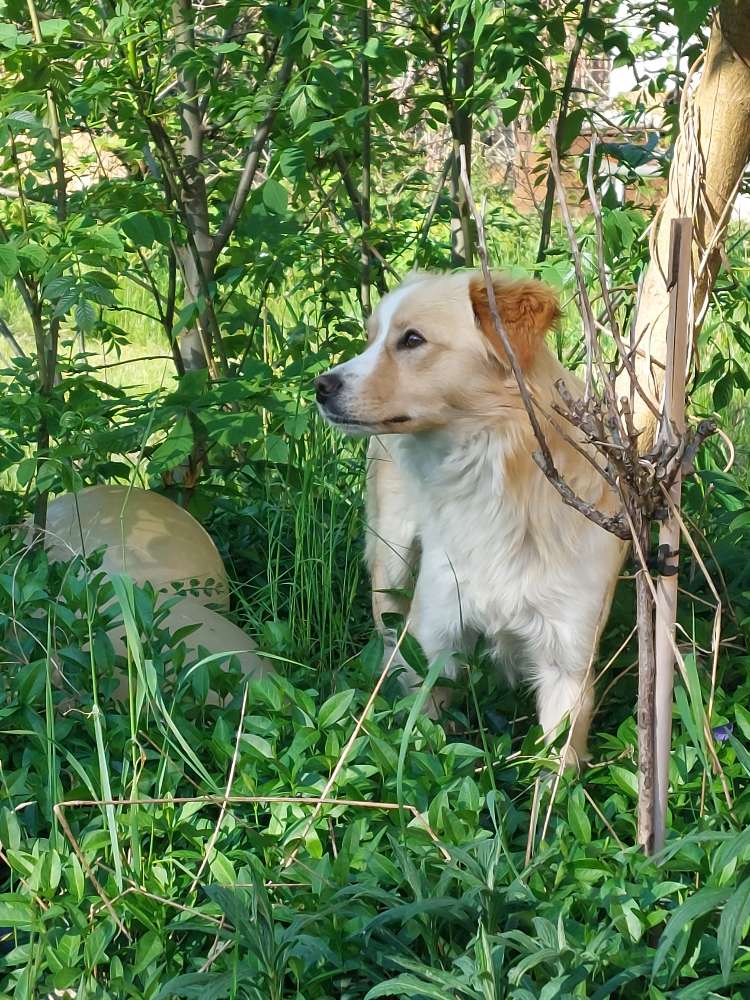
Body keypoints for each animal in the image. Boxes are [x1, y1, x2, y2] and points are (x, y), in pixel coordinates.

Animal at [318, 270, 628, 760]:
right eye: (372, 339)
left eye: (412, 339)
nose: (320, 386)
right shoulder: (438, 639)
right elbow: (425, 745)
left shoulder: (567, 659)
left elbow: (558, 766)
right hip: (392, 561)